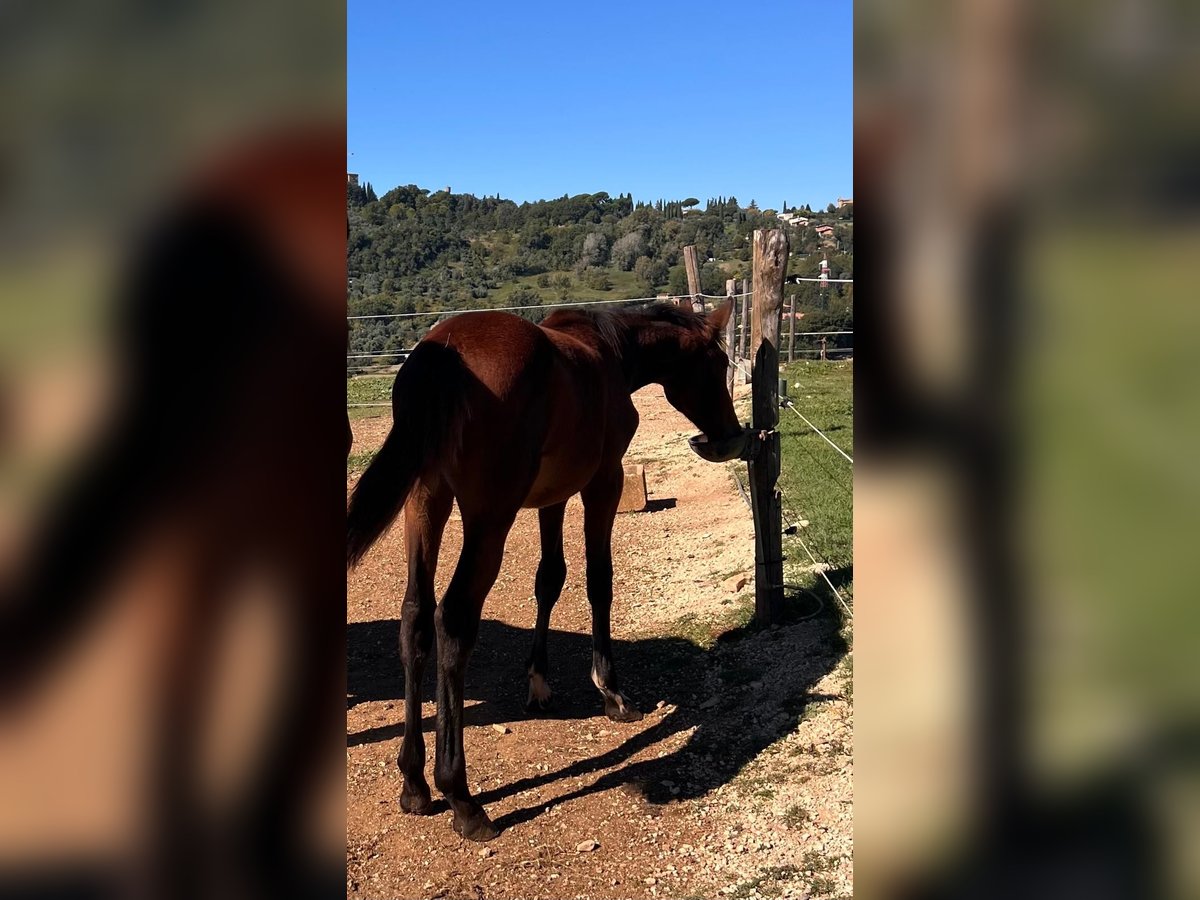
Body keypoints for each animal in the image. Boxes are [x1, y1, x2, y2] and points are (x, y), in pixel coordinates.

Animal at [345, 299, 753, 842]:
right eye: (718, 363)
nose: (729, 435)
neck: (608, 351)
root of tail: (443, 353)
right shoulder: (603, 481)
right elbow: (598, 580)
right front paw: (612, 692)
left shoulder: (552, 497)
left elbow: (550, 578)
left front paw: (539, 682)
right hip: (488, 518)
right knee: (452, 620)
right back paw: (462, 798)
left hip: (426, 501)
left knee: (415, 617)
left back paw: (414, 783)